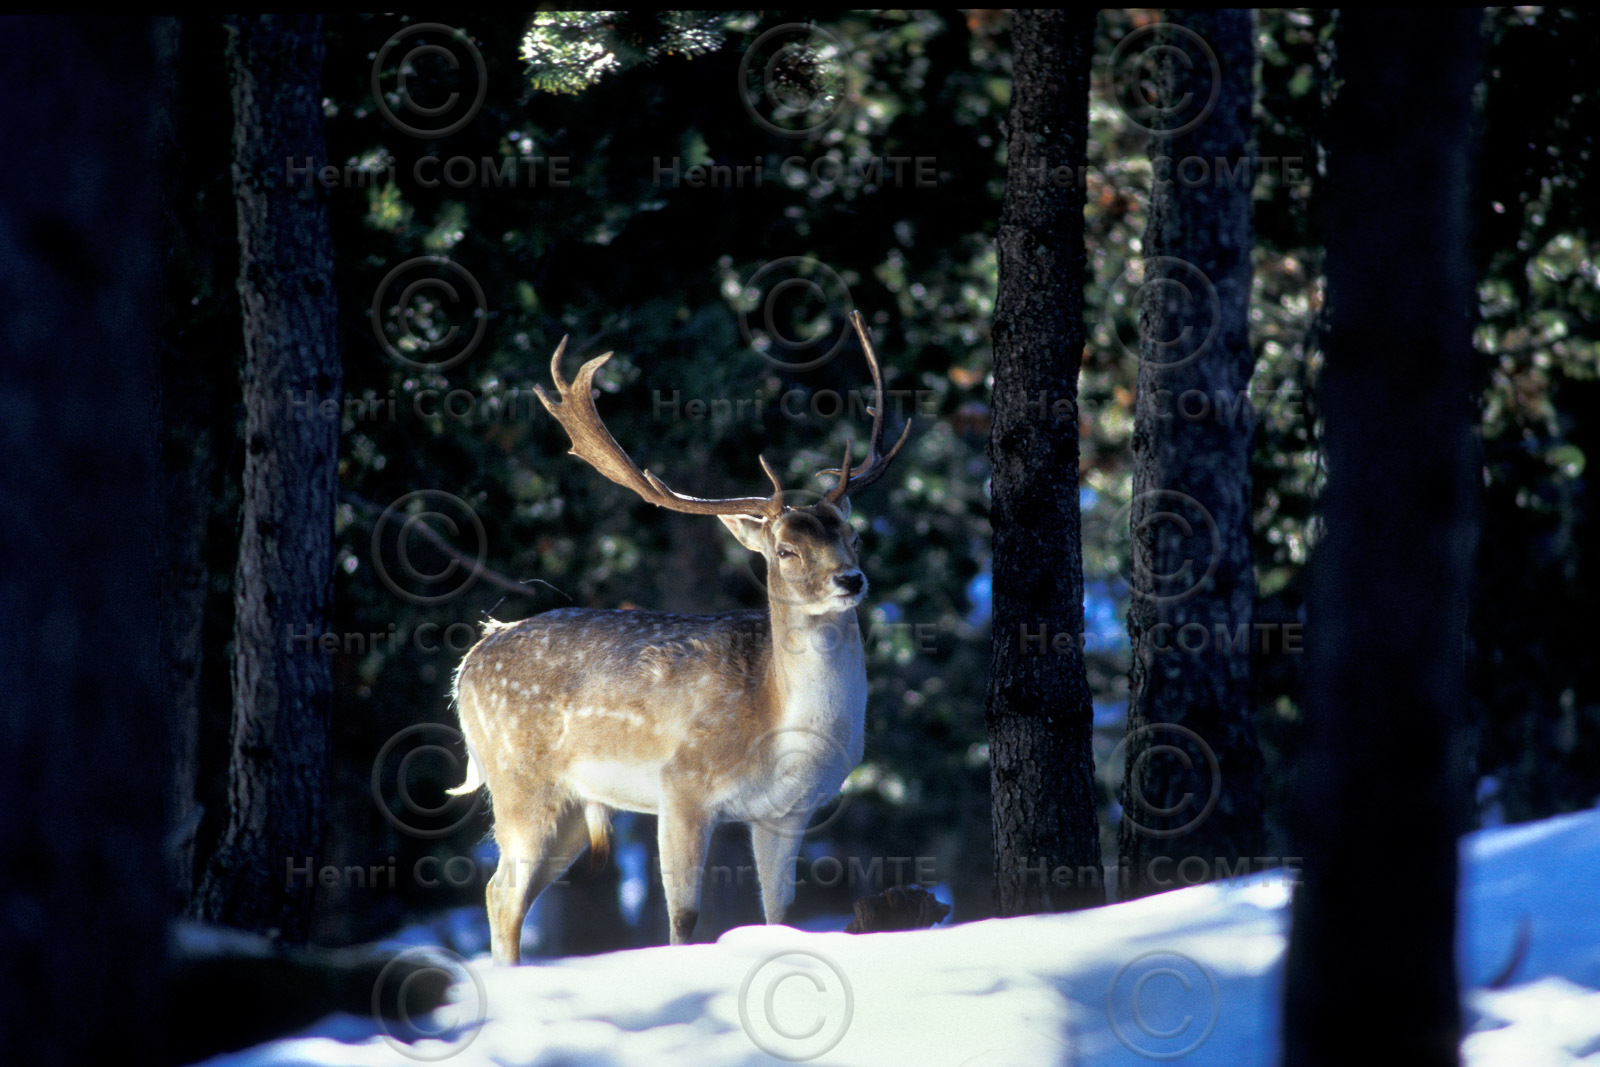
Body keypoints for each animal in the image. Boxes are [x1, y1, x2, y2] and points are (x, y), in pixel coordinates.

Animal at [448, 311, 910, 960]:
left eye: (853, 536)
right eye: (786, 550)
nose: (852, 579)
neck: (777, 719)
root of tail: (469, 661)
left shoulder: (787, 812)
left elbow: (782, 915)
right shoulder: (682, 786)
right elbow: (685, 918)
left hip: (571, 806)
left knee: (509, 894)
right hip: (519, 780)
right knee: (500, 893)